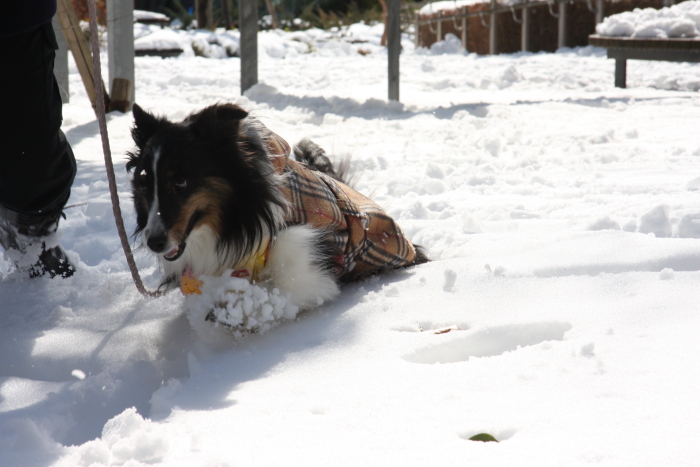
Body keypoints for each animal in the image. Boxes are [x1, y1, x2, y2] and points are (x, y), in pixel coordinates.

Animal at [129, 104, 430, 312]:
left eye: (180, 182)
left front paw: (240, 311)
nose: (154, 242)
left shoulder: (312, 259)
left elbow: (285, 289)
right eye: (144, 184)